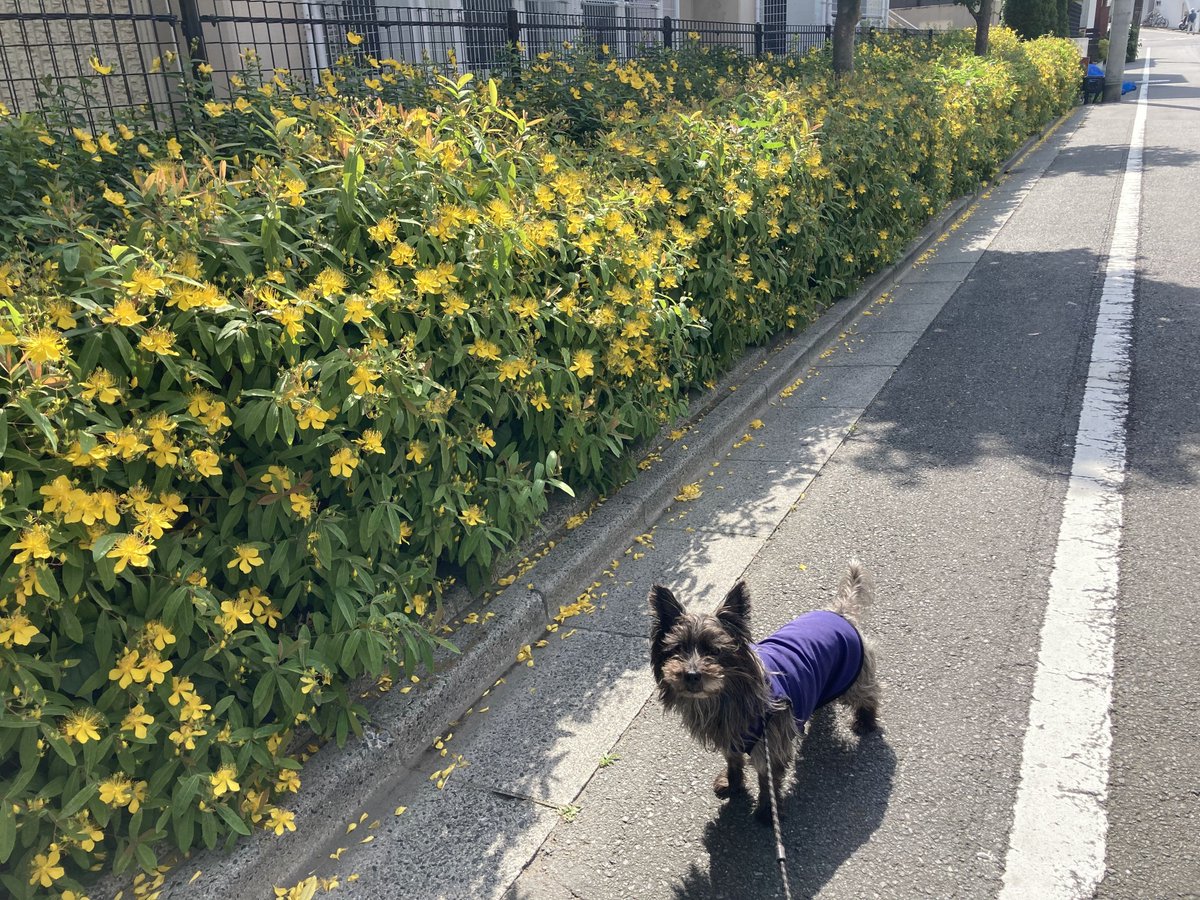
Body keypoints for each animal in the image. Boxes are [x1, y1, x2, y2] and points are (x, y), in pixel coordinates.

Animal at [648, 564, 883, 825]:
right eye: (677, 649)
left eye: (715, 651)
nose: (690, 674)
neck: (725, 696)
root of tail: (840, 613)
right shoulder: (731, 739)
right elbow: (733, 762)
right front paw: (732, 784)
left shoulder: (771, 744)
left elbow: (767, 781)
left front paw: (766, 812)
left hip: (852, 676)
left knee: (868, 694)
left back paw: (865, 721)